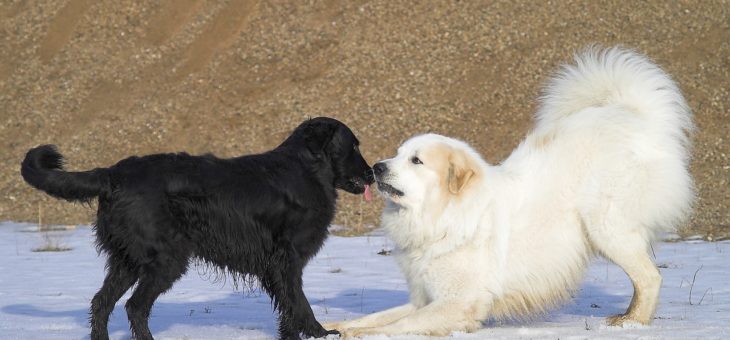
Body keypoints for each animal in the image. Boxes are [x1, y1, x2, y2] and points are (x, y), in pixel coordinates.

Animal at [19, 117, 372, 340]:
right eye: (353, 146)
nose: (371, 174)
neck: (305, 170)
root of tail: (112, 174)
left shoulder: (277, 264)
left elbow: (289, 306)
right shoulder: (287, 260)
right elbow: (297, 302)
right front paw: (319, 334)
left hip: (127, 260)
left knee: (101, 303)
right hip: (166, 258)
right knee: (135, 307)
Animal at [326, 47, 692, 338]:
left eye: (416, 160)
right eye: (398, 153)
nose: (376, 167)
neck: (445, 215)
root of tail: (635, 117)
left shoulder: (458, 301)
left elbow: (396, 325)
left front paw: (361, 335)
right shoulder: (423, 297)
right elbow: (377, 316)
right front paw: (335, 327)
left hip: (608, 228)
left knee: (650, 278)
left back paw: (631, 322)